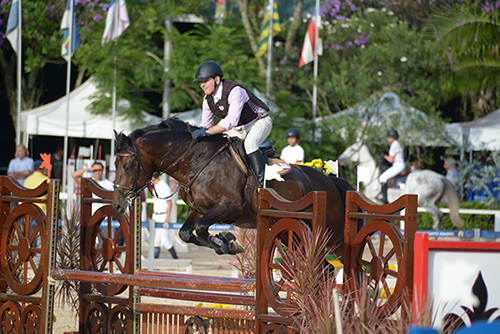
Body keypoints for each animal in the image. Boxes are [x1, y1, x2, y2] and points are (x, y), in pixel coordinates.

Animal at [113, 118, 356, 260]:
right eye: (114, 164)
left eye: (128, 166)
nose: (117, 204)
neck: (197, 162)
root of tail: (329, 181)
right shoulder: (198, 210)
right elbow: (186, 232)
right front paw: (225, 241)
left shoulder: (231, 207)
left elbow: (201, 228)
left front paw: (226, 242)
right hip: (292, 233)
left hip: (331, 234)